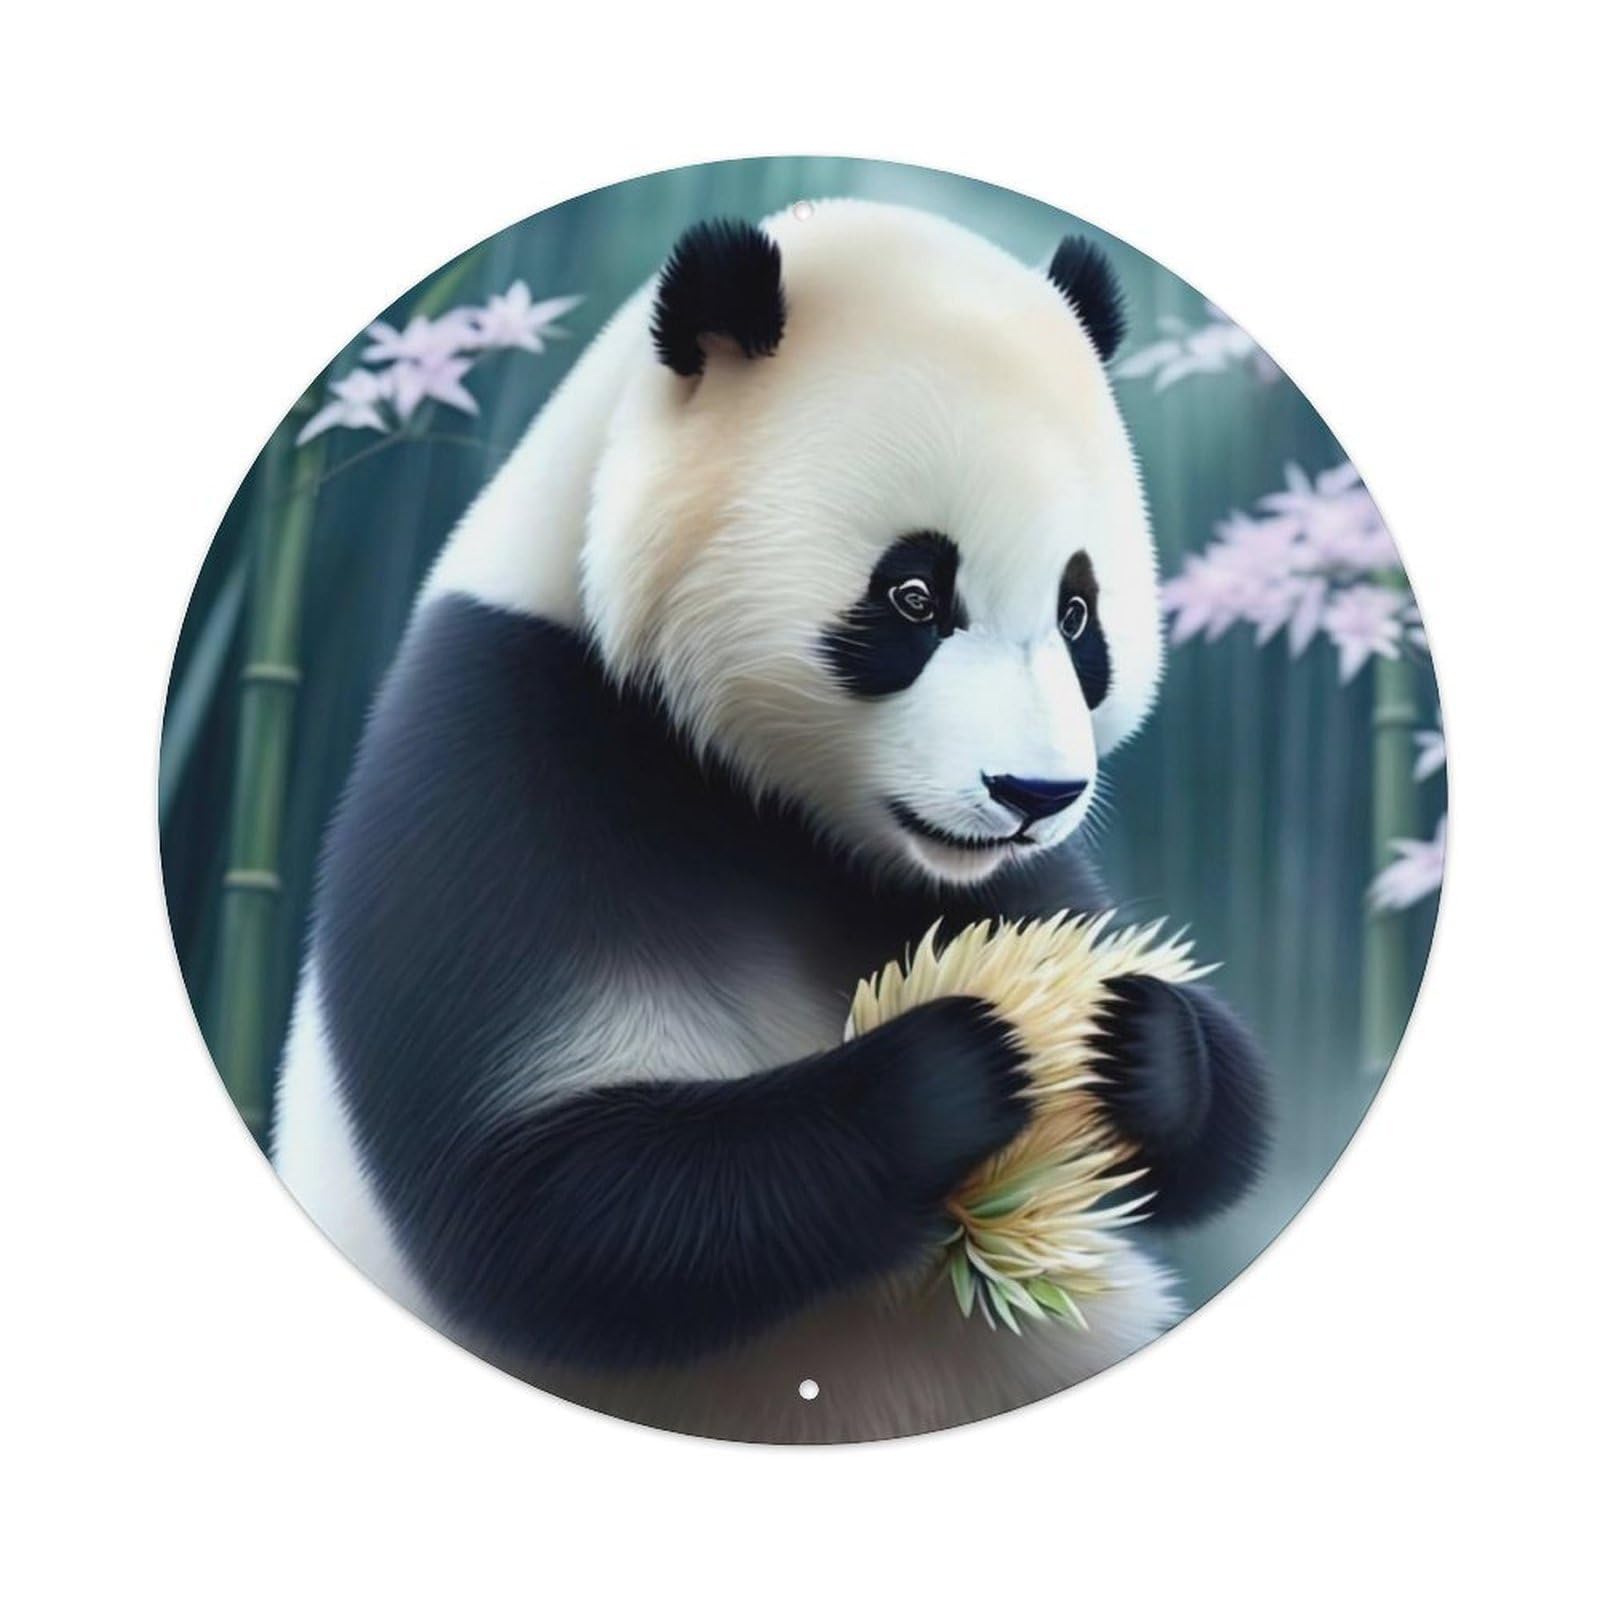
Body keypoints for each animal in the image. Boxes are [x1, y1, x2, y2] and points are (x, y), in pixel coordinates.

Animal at [272, 199, 1269, 1443]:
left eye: (1078, 612)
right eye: (911, 595)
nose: (1032, 795)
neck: (748, 797)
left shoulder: (975, 876)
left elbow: (1217, 1104)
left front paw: (1134, 1040)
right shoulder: (498, 761)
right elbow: (544, 1209)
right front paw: (960, 1068)